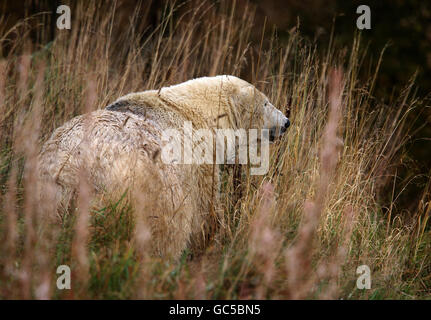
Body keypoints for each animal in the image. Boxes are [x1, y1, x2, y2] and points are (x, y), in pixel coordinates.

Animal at [39, 74, 290, 258]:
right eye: (266, 102)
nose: (287, 122)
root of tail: (71, 164)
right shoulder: (198, 161)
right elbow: (204, 214)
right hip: (141, 184)